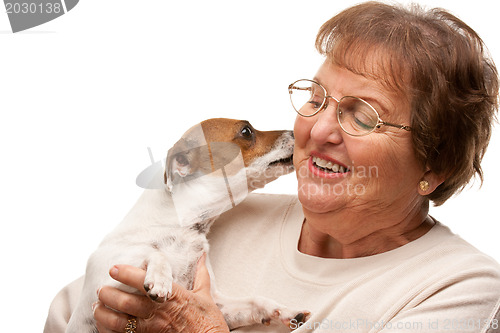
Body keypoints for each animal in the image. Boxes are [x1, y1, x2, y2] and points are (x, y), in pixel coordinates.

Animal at [65, 118, 310, 330]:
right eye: (246, 131)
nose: (295, 132)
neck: (185, 228)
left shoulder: (216, 304)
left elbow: (254, 301)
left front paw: (283, 311)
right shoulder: (105, 284)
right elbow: (155, 252)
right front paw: (160, 279)